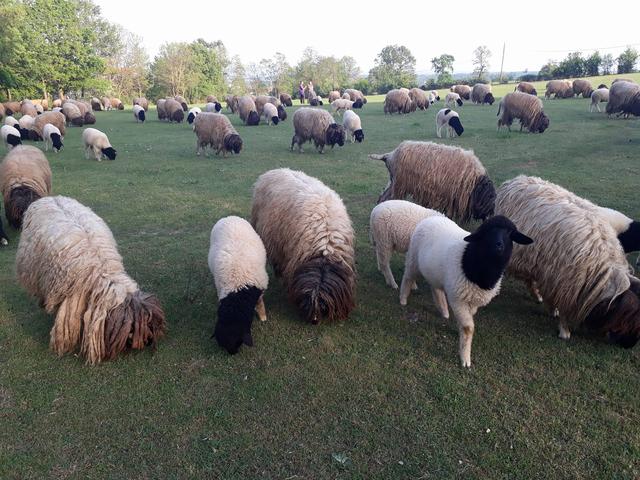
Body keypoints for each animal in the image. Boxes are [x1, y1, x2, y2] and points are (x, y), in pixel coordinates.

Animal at [208, 216, 268, 354]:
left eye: (239, 342)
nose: (232, 354)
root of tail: (229, 217)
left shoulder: (260, 285)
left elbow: (260, 303)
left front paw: (263, 317)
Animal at [400, 215, 533, 367]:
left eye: (510, 232)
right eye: (486, 232)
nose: (498, 245)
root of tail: (432, 217)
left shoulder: (473, 300)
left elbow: (468, 319)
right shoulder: (458, 299)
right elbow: (468, 328)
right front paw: (465, 359)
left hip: (435, 273)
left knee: (436, 288)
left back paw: (444, 312)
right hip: (413, 260)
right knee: (407, 277)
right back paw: (403, 299)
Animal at [495, 175, 640, 347]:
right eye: (629, 321)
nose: (629, 346)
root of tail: (516, 180)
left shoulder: (555, 275)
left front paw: (552, 310)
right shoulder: (566, 281)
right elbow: (563, 309)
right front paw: (564, 331)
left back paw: (536, 295)